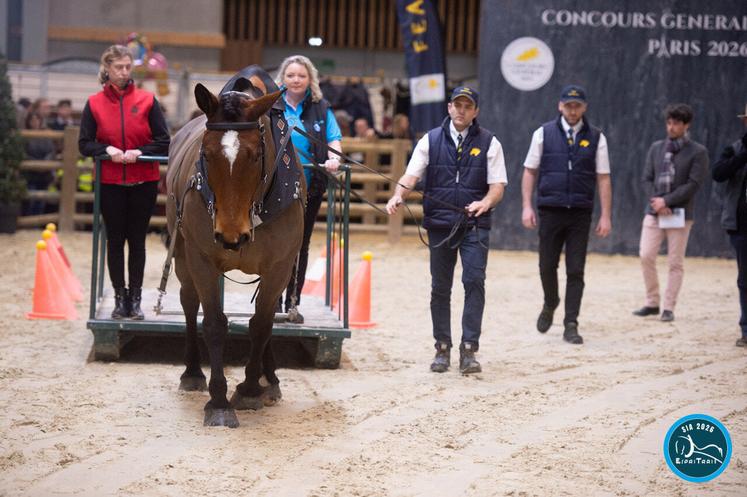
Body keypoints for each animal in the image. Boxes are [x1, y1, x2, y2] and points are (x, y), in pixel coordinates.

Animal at [166, 73, 305, 428]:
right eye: (206, 153)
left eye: (256, 155)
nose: (230, 235)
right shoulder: (202, 259)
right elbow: (214, 324)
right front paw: (218, 401)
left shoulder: (279, 266)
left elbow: (262, 325)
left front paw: (250, 389)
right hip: (183, 254)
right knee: (189, 303)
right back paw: (192, 372)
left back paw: (271, 380)